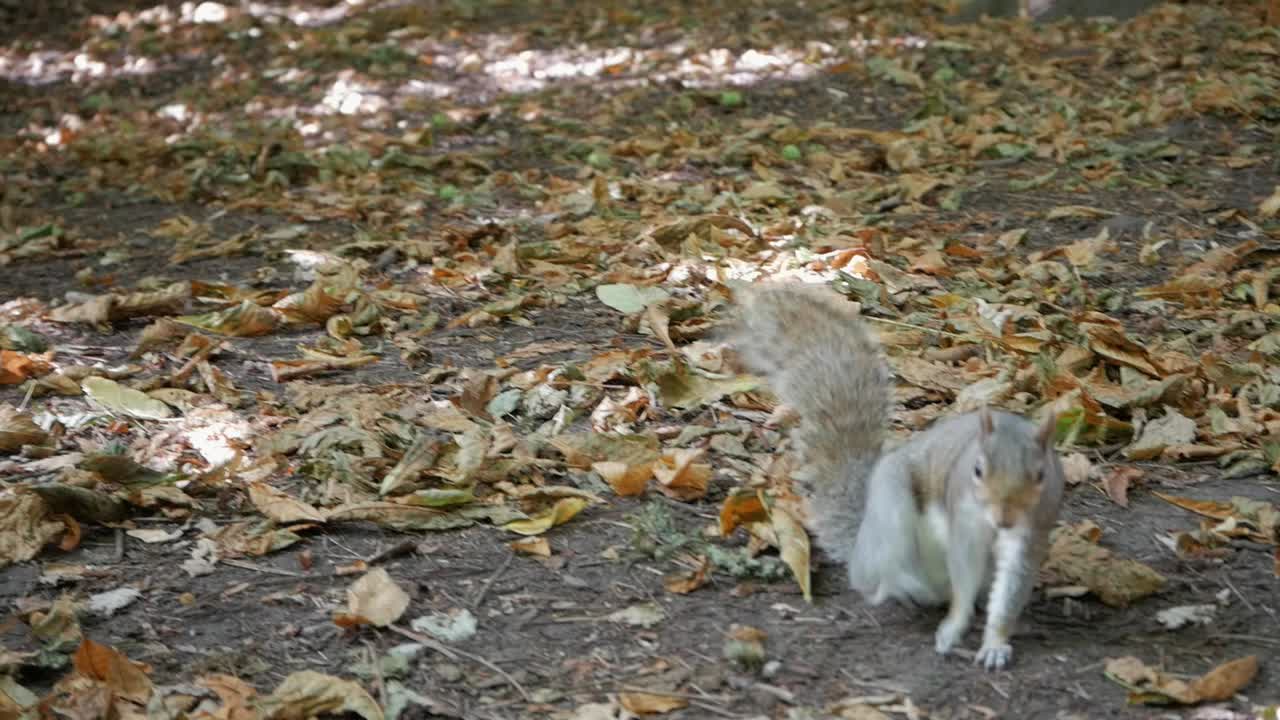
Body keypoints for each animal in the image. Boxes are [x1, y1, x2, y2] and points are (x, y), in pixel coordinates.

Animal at [728, 282, 1065, 670]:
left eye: (1040, 475)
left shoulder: (1034, 525)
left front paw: (995, 642)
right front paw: (954, 627)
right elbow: (963, 570)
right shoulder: (963, 516)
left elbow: (1013, 583)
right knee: (875, 576)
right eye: (977, 470)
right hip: (892, 514)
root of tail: (861, 541)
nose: (1004, 518)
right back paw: (902, 587)